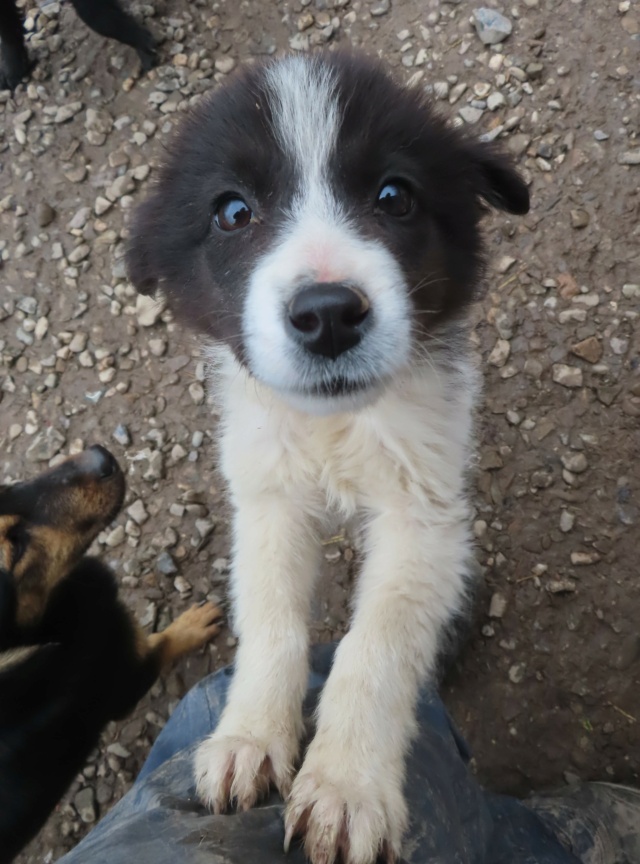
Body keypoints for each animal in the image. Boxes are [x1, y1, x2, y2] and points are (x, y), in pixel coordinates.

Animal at [0, 446, 221, 864]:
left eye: (2, 486)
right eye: (14, 546)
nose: (100, 457)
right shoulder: (126, 678)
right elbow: (162, 643)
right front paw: (191, 626)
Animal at [126, 52, 528, 864]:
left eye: (395, 196)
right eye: (233, 212)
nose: (328, 314)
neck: (333, 428)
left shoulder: (422, 506)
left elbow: (375, 644)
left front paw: (347, 787)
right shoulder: (267, 493)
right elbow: (272, 619)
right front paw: (248, 738)